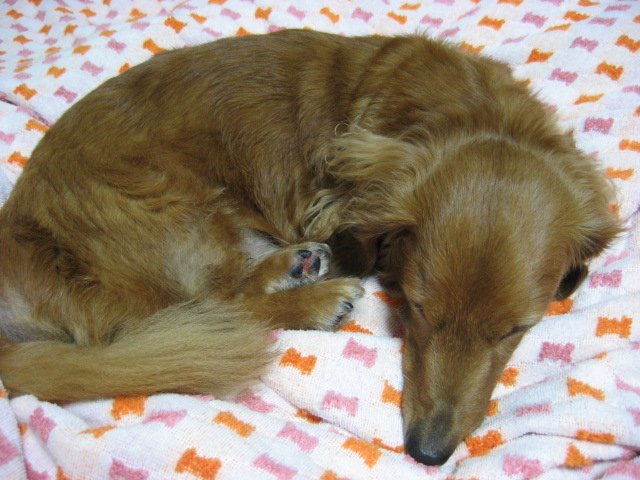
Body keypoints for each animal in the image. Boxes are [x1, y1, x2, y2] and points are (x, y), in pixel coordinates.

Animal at [0, 30, 620, 466]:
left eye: (517, 330)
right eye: (416, 308)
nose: (428, 452)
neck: (465, 112)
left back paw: (297, 264)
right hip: (180, 206)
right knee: (213, 308)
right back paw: (316, 299)